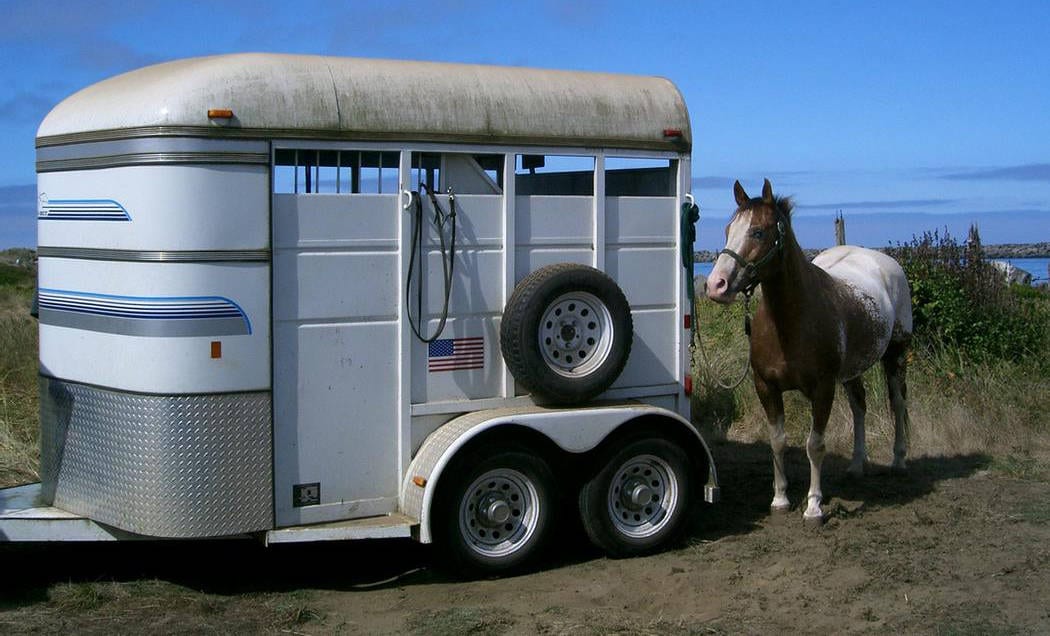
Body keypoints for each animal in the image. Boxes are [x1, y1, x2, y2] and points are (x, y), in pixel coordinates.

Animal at [705, 179, 913, 524]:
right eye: (727, 230)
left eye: (758, 232)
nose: (715, 285)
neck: (790, 320)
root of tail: (885, 262)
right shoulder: (766, 387)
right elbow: (777, 441)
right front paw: (779, 499)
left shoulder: (822, 388)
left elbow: (815, 445)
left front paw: (814, 506)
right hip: (852, 371)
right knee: (859, 406)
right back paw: (857, 465)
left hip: (895, 354)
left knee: (897, 402)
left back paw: (898, 460)